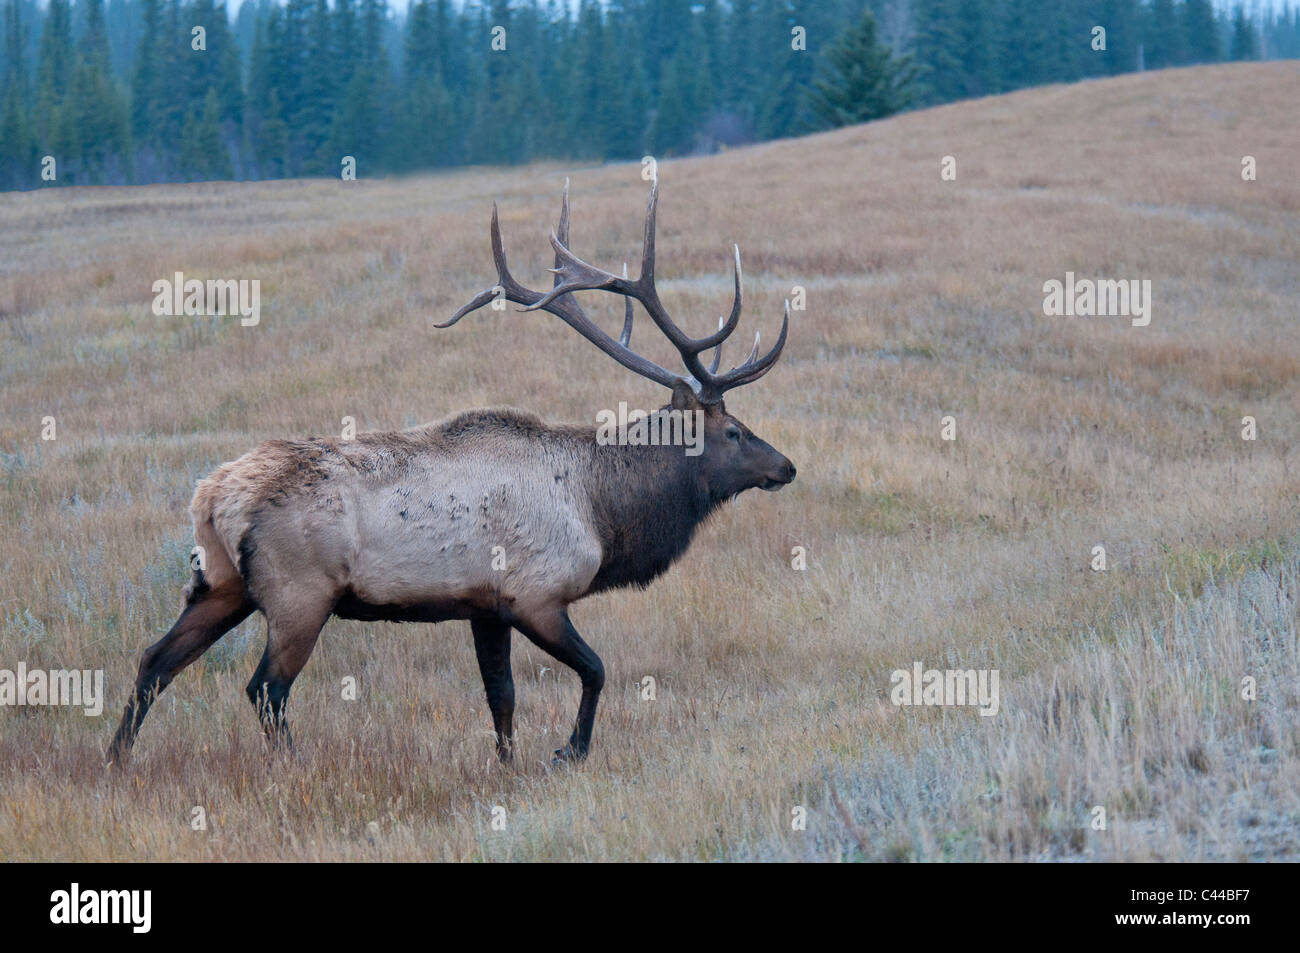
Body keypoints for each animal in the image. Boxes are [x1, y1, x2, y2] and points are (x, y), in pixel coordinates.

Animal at [111, 182, 795, 764]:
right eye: (734, 431)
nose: (786, 466)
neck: (602, 511)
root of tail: (212, 497)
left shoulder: (484, 605)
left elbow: (502, 696)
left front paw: (508, 765)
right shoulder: (536, 594)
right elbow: (596, 669)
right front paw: (569, 750)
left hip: (220, 583)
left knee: (153, 661)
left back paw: (117, 760)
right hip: (299, 594)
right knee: (264, 689)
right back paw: (291, 765)